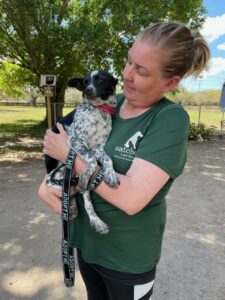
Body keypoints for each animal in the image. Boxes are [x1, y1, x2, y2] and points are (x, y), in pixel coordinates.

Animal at [46, 70, 119, 234]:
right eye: (85, 82)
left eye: (101, 80)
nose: (87, 91)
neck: (99, 110)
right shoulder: (76, 141)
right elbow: (91, 162)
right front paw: (86, 175)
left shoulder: (98, 147)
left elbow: (108, 159)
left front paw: (110, 175)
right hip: (57, 177)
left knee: (86, 202)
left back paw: (95, 221)